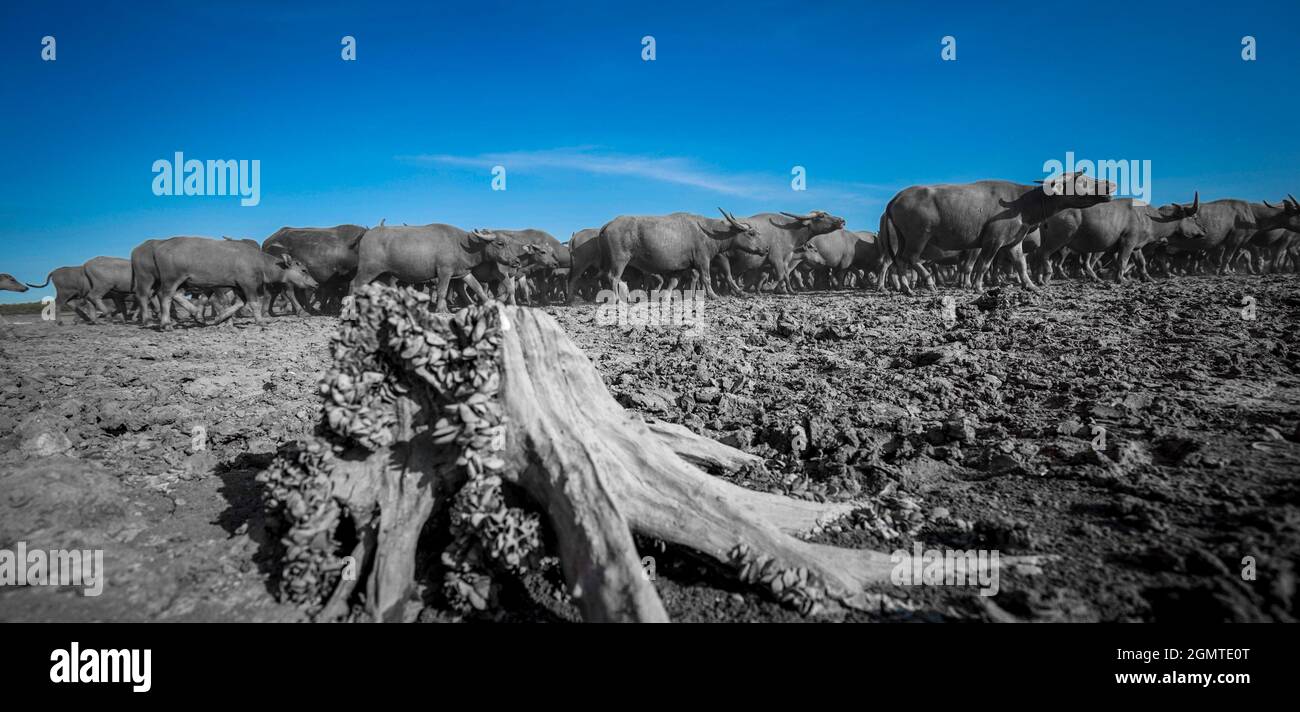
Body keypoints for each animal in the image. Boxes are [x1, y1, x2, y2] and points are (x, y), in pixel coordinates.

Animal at [351, 222, 533, 311]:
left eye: (509, 243)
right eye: (500, 243)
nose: (516, 262)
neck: (460, 244)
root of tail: (366, 235)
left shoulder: (463, 273)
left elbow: (478, 289)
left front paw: (488, 303)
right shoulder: (444, 272)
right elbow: (442, 291)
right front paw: (441, 309)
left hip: (384, 275)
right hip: (368, 270)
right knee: (354, 284)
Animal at [883, 172, 1118, 292]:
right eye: (1084, 181)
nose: (1111, 184)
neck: (1022, 204)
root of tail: (896, 198)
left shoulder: (1014, 242)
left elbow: (1021, 265)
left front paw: (1030, 285)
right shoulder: (993, 240)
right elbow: (984, 264)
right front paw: (978, 286)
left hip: (903, 238)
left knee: (900, 262)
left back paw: (906, 288)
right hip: (919, 236)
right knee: (912, 259)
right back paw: (928, 283)